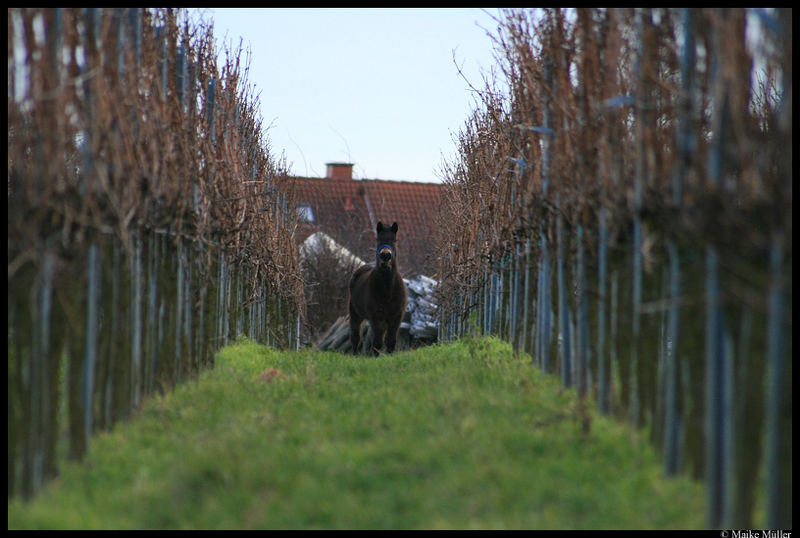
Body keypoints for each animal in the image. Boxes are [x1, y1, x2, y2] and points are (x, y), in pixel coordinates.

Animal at [348, 220, 406, 354]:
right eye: (378, 240)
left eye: (394, 240)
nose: (385, 255)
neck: (388, 291)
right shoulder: (376, 317)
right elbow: (377, 343)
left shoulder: (396, 317)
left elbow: (390, 342)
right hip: (355, 315)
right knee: (355, 337)